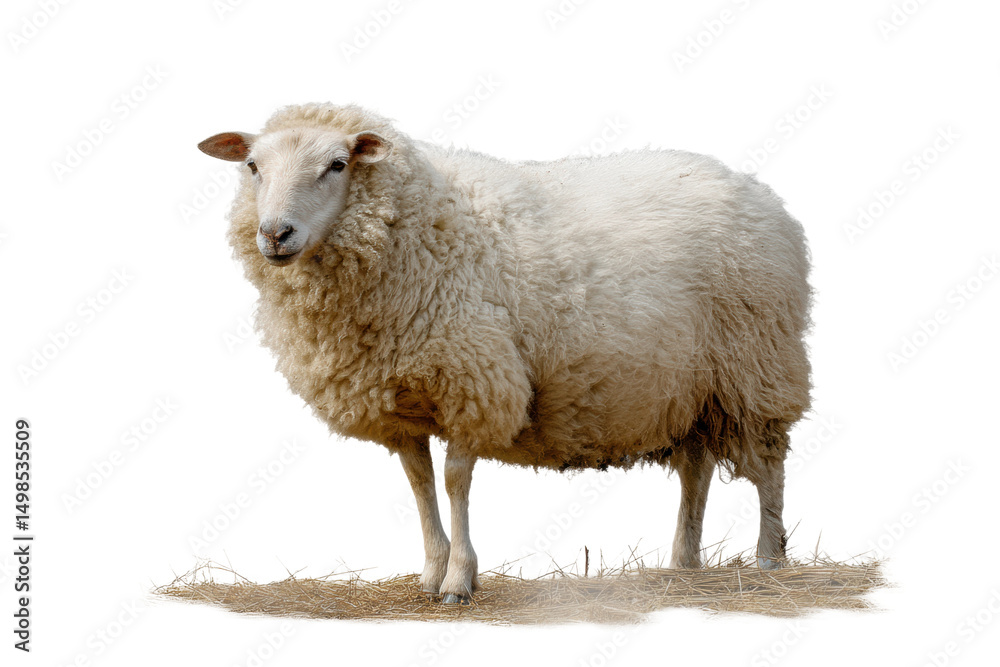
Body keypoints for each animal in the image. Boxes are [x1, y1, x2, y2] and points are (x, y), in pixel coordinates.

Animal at [198, 102, 812, 604]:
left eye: (337, 164)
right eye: (252, 166)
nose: (275, 234)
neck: (418, 224)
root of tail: (760, 192)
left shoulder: (476, 381)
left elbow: (454, 481)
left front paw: (459, 580)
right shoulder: (400, 401)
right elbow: (419, 485)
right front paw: (431, 573)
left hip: (757, 367)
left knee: (770, 467)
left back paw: (769, 560)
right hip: (693, 387)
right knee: (696, 471)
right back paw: (683, 565)